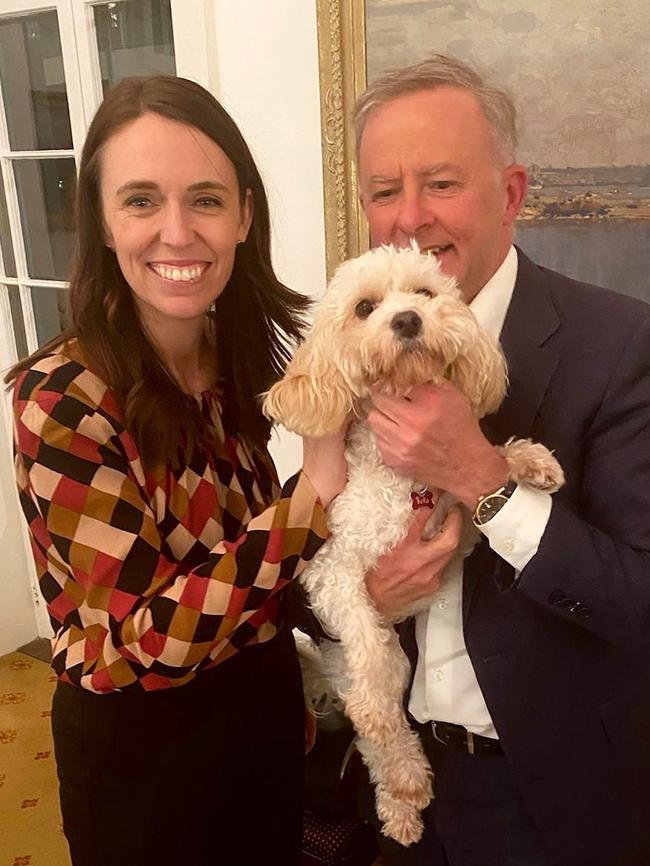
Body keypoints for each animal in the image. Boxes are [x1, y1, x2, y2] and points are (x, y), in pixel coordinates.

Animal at [260, 245, 560, 844]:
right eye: (364, 307)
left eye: (424, 293)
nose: (407, 320)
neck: (401, 476)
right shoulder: (332, 571)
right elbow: (365, 641)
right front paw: (377, 708)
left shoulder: (454, 525)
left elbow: (484, 480)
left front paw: (528, 461)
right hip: (369, 662)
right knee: (377, 730)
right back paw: (401, 789)